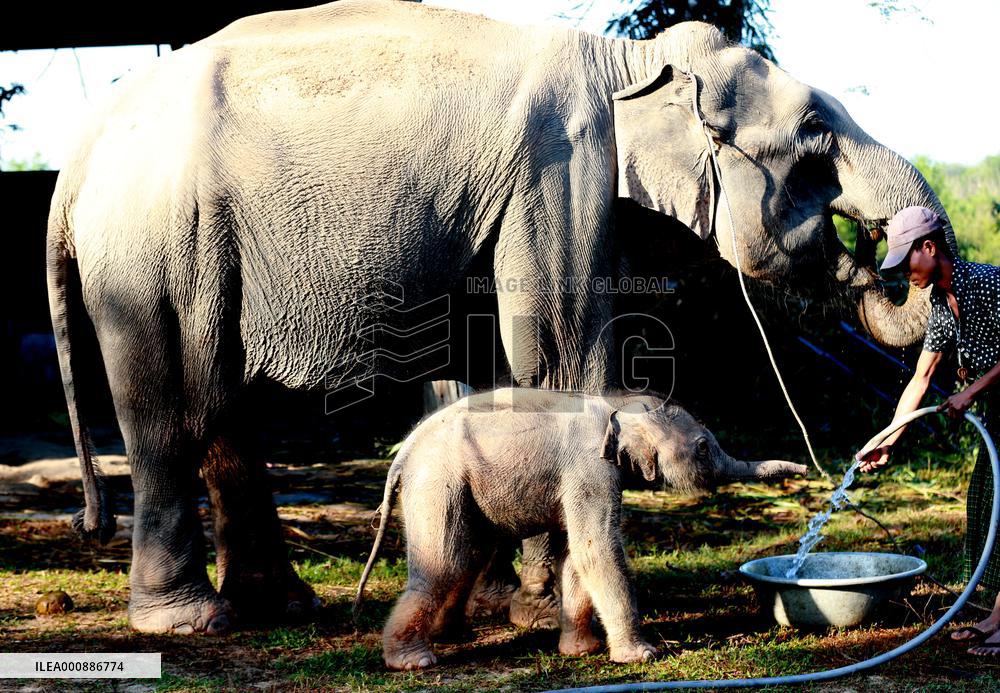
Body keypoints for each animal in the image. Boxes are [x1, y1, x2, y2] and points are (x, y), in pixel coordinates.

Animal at [46, 0, 953, 634]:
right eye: (814, 135)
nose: (890, 251)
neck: (625, 62)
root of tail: (77, 156)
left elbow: (484, 363)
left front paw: (486, 596)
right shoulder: (562, 168)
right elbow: (556, 352)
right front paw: (540, 607)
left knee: (225, 408)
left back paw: (281, 608)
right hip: (155, 248)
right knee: (172, 410)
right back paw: (189, 620)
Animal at [352, 387, 807, 669]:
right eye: (703, 447)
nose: (806, 469)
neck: (617, 402)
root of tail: (403, 451)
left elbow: (575, 556)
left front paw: (581, 651)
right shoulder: (590, 468)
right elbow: (597, 548)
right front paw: (641, 656)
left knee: (467, 558)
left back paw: (453, 636)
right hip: (437, 482)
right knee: (443, 562)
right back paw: (412, 660)